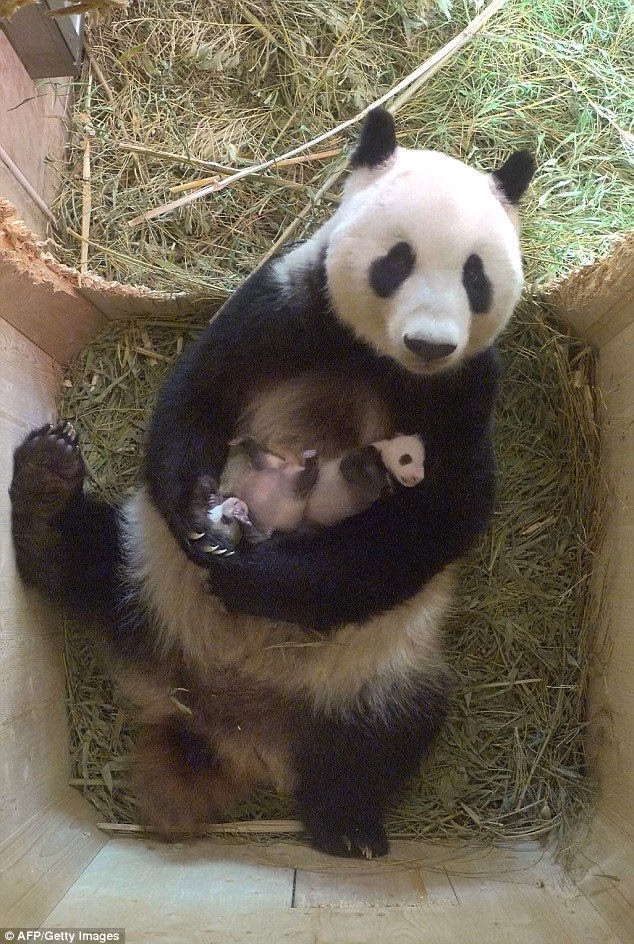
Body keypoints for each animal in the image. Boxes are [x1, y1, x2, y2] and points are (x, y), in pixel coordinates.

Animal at [9, 108, 534, 859]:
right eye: (396, 261)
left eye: (475, 276)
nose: (429, 343)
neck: (375, 356)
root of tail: (219, 717)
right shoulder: (285, 307)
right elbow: (196, 396)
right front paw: (200, 518)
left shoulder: (464, 390)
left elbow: (444, 513)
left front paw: (256, 577)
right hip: (148, 567)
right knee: (89, 559)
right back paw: (48, 488)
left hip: (379, 670)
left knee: (385, 738)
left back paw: (349, 826)